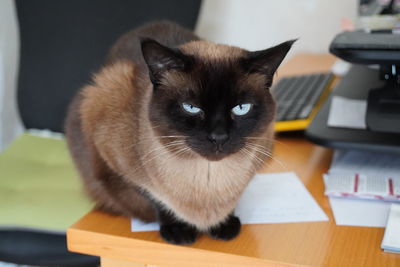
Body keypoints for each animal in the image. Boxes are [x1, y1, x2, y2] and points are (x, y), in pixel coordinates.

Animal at [65, 21, 294, 245]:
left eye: (241, 108)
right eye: (191, 108)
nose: (218, 137)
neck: (209, 180)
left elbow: (233, 202)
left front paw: (224, 226)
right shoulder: (115, 162)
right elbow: (156, 199)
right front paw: (179, 231)